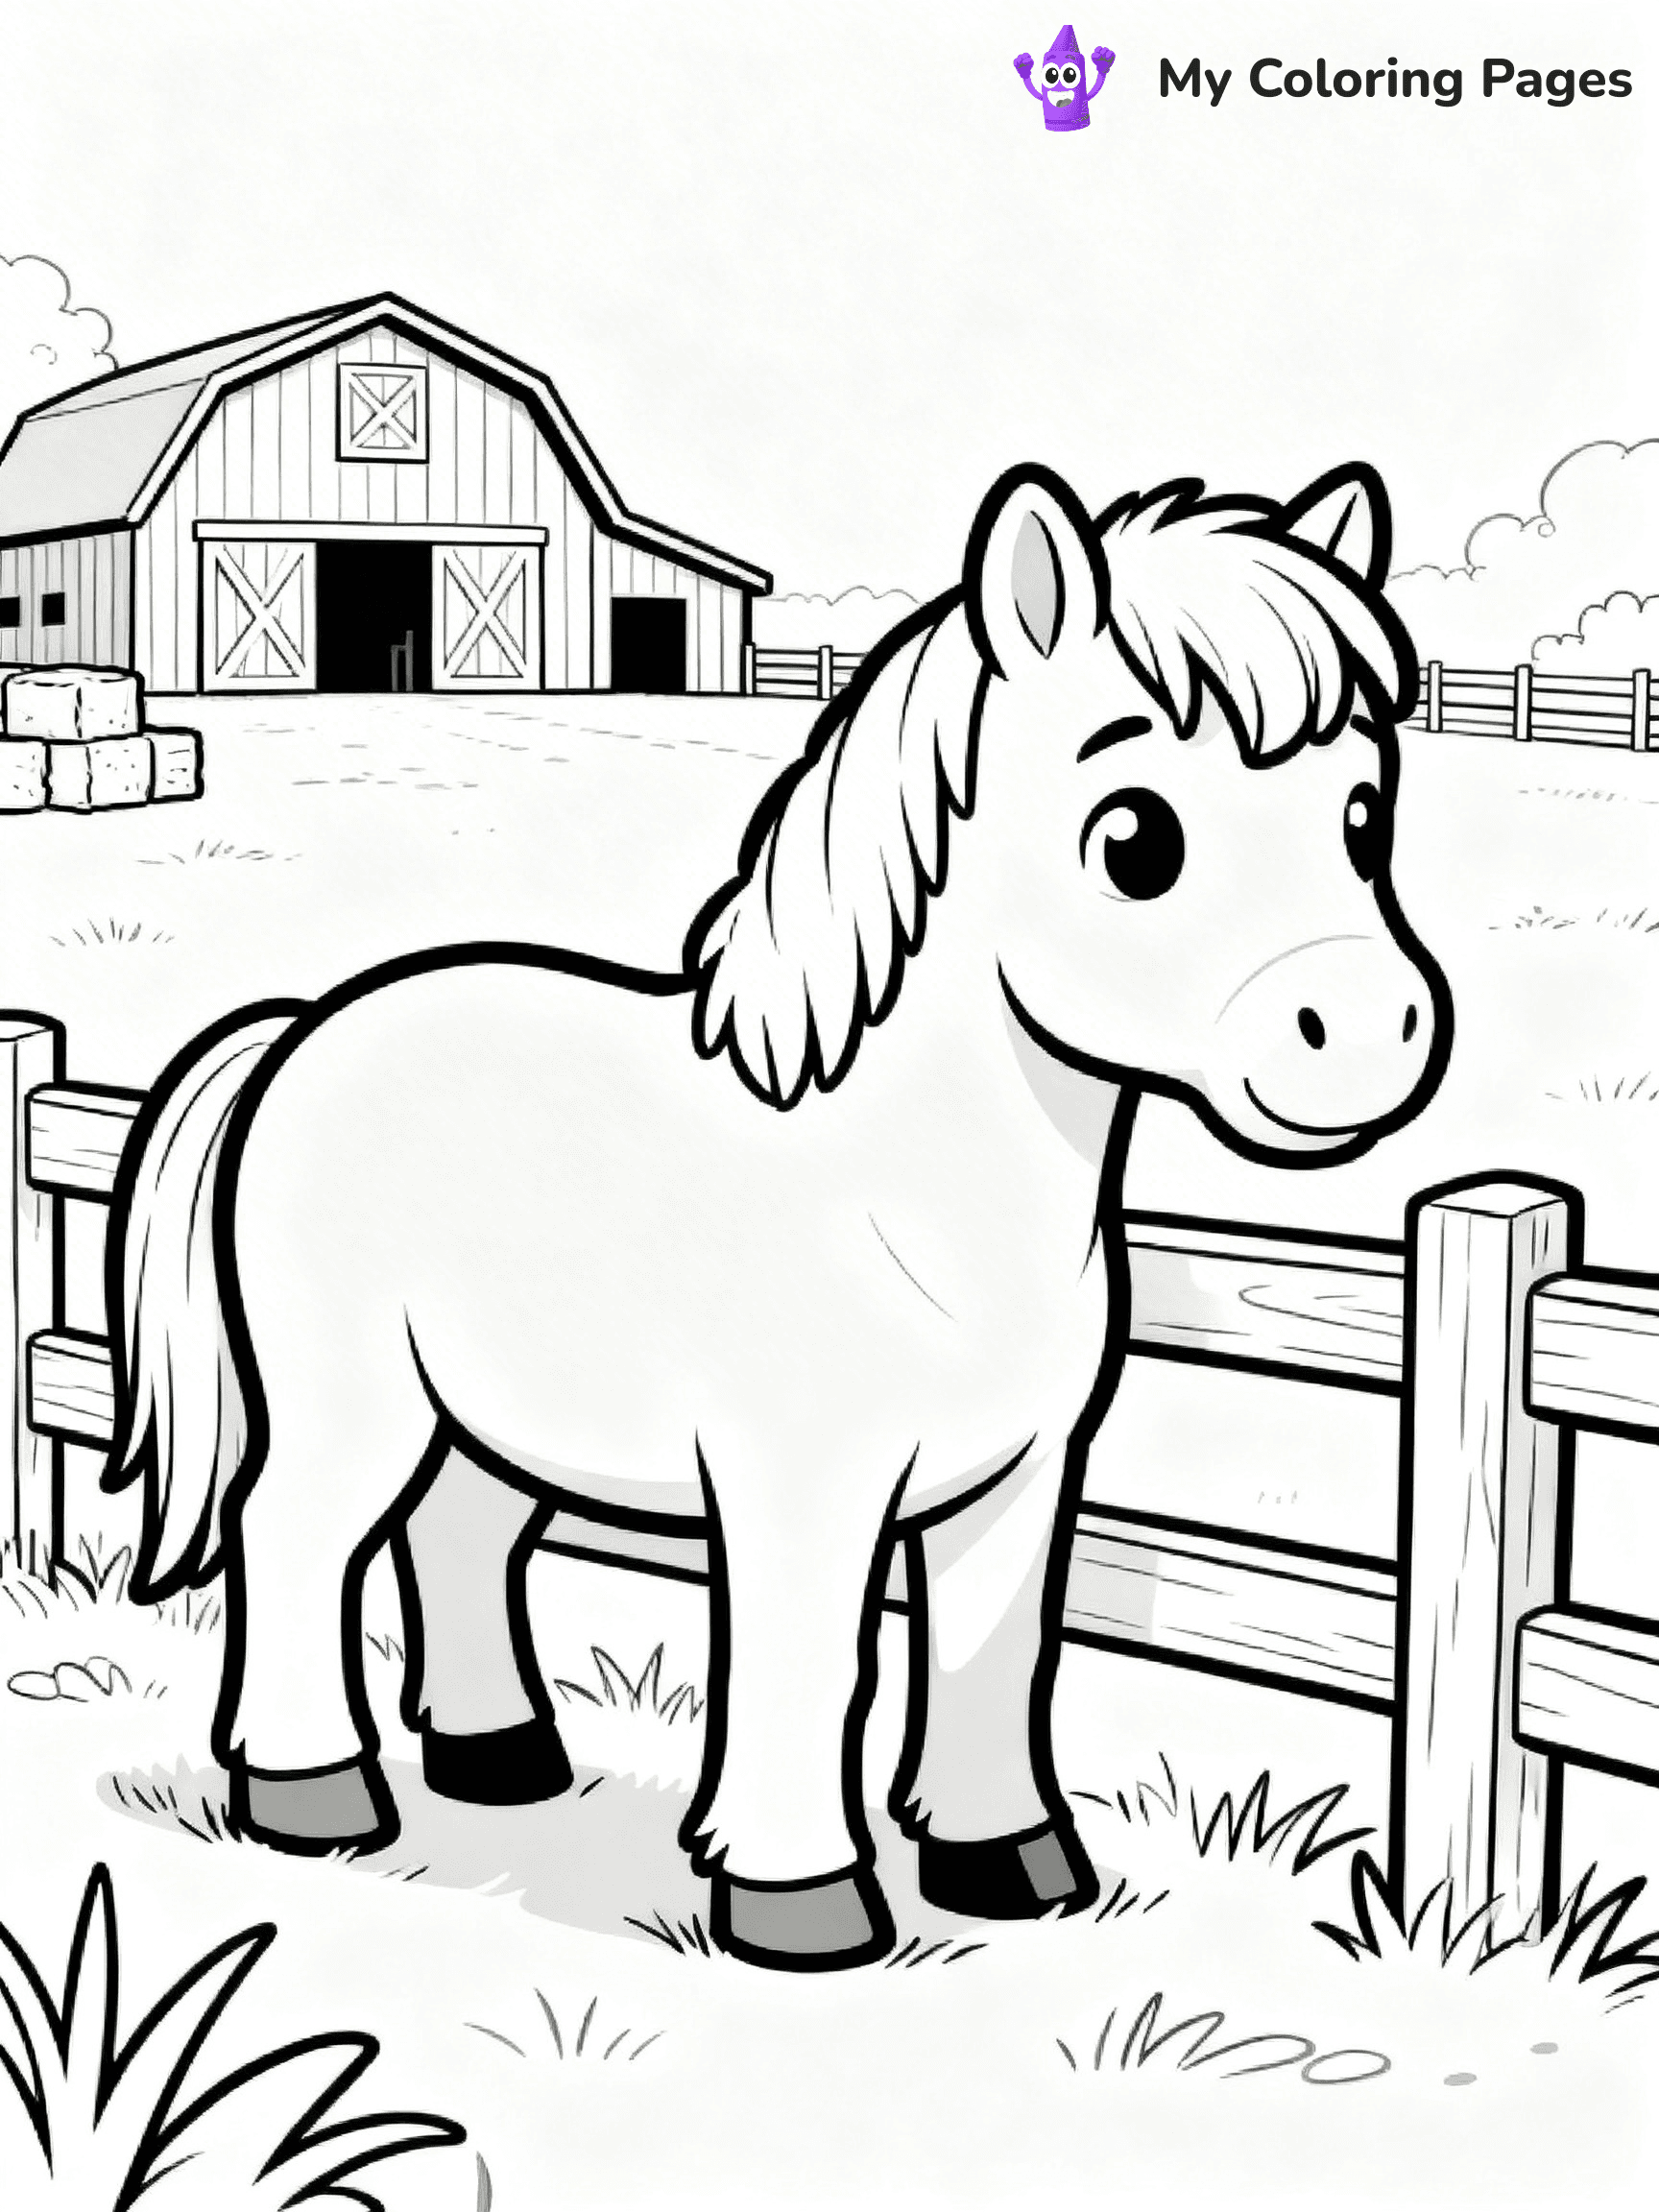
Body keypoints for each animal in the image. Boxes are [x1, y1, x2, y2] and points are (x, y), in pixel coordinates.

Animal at [105, 459, 1451, 1971]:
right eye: (1133, 837)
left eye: (1363, 813)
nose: (1366, 1036)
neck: (911, 1203)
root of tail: (305, 1028)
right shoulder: (801, 1483)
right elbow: (818, 1658)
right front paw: (801, 1905)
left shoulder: (1020, 1477)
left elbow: (992, 1655)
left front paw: (1011, 1864)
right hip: (358, 1401)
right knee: (298, 1535)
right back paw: (314, 1798)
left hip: (485, 1407)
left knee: (461, 1537)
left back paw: (503, 1761)